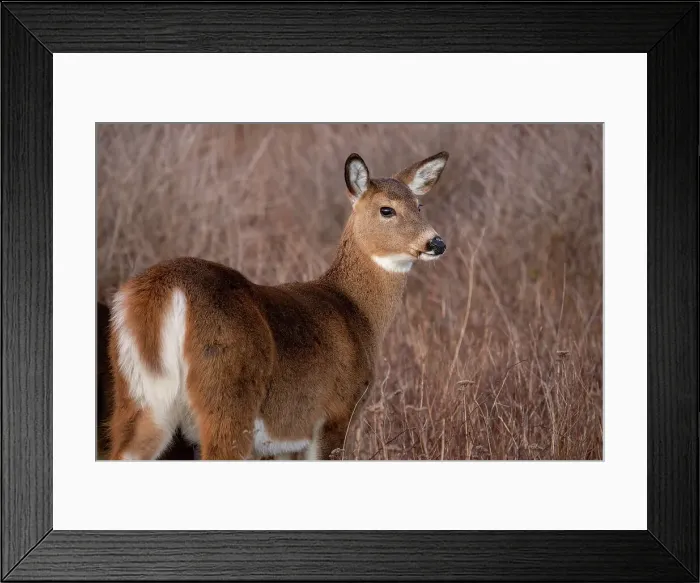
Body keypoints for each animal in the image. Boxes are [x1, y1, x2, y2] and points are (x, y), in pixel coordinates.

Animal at [106, 150, 450, 461]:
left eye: (419, 205)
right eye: (386, 210)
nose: (437, 242)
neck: (357, 310)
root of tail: (168, 288)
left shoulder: (284, 442)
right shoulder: (336, 412)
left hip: (138, 396)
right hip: (228, 395)